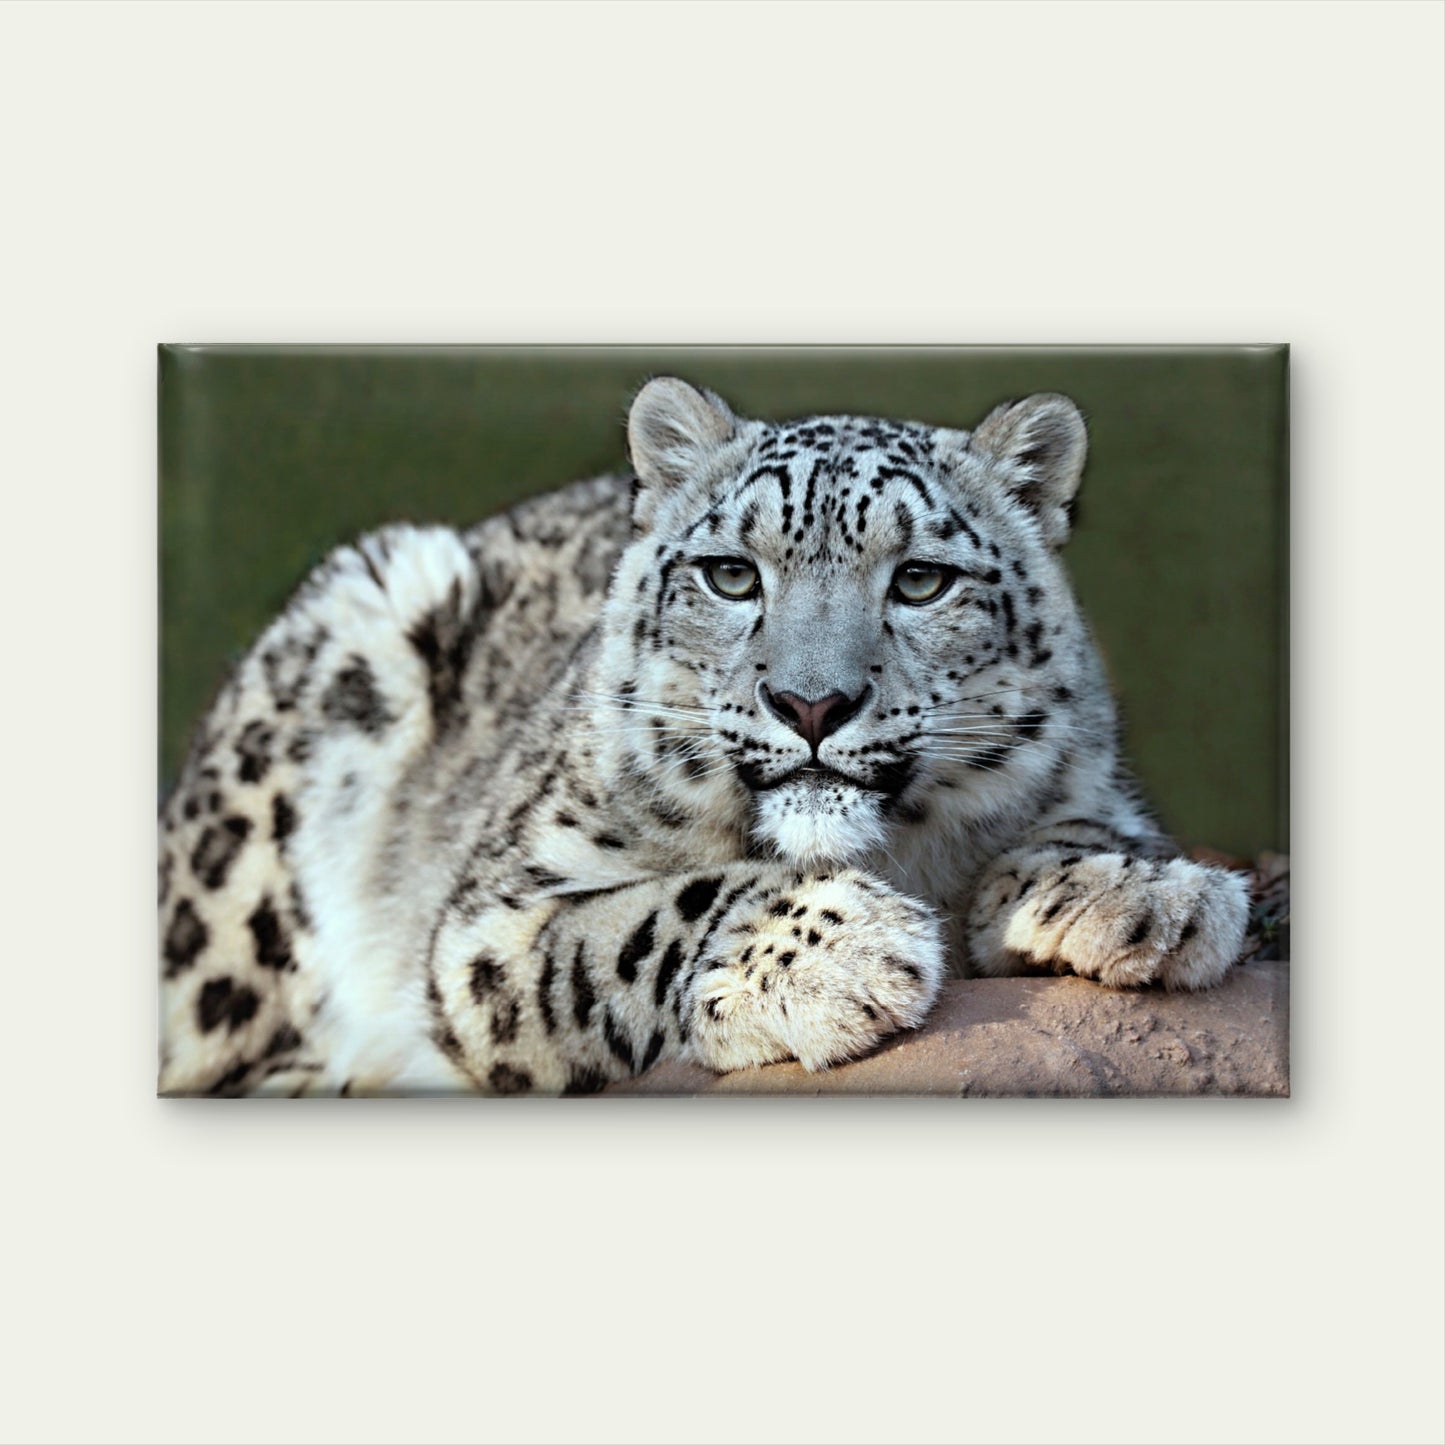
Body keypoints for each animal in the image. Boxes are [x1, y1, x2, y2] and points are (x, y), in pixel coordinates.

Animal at [157, 377, 1250, 1096]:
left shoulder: (1080, 780)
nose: (811, 703)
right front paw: (840, 951)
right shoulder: (492, 923)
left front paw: (1143, 893)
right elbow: (649, 913)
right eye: (731, 574)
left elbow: (1077, 827)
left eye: (919, 580)